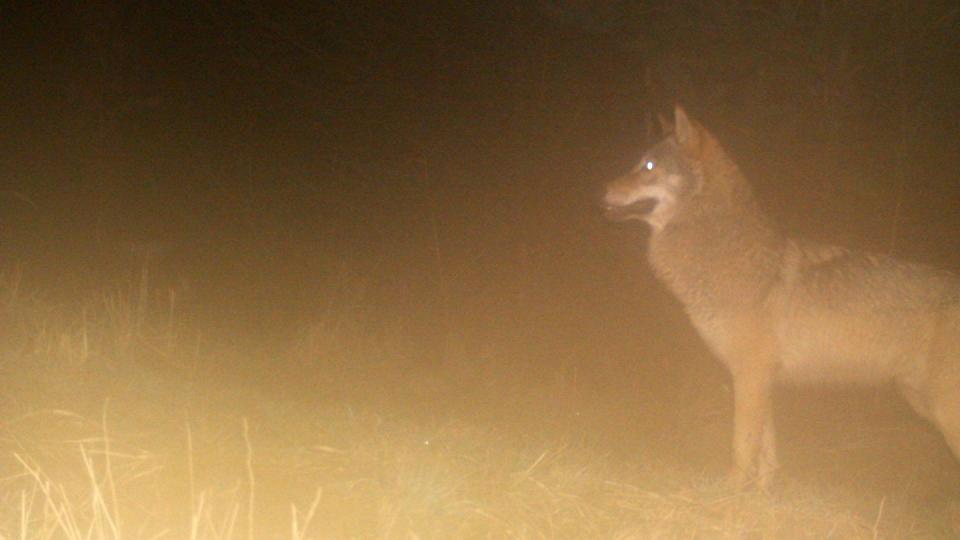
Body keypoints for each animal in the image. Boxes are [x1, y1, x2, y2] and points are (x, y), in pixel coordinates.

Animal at [604, 103, 956, 488]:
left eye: (649, 166)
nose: (602, 190)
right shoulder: (761, 379)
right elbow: (766, 449)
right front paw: (763, 492)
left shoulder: (749, 374)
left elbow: (742, 445)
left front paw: (729, 492)